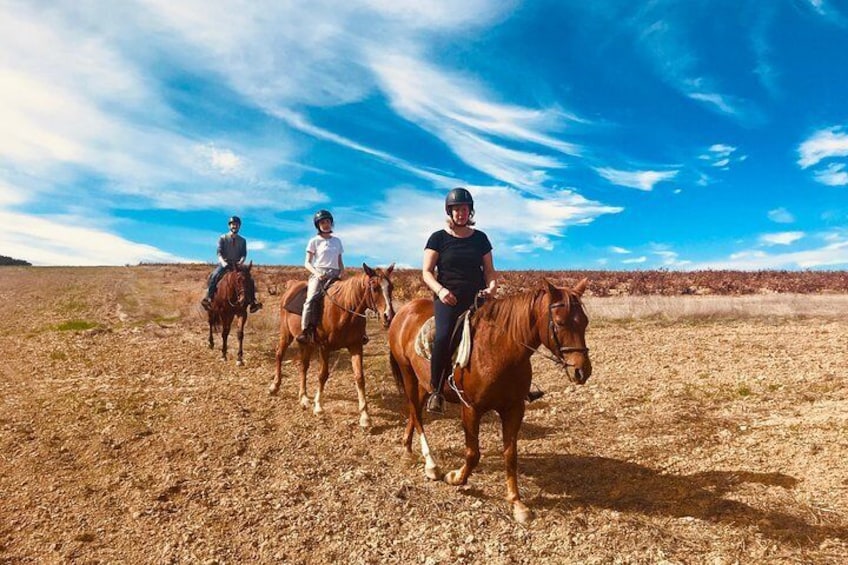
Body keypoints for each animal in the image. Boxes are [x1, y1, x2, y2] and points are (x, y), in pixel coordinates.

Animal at [270, 264, 396, 428]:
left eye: (391, 287)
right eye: (374, 288)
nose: (389, 316)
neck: (344, 311)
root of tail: (292, 285)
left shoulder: (356, 346)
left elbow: (360, 378)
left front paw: (365, 416)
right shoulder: (325, 347)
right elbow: (323, 375)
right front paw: (318, 406)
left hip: (306, 343)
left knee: (303, 366)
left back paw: (303, 397)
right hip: (286, 334)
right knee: (279, 354)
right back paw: (274, 386)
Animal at [390, 280, 592, 524]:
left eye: (585, 322)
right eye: (560, 322)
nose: (582, 371)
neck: (498, 350)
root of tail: (405, 310)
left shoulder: (514, 409)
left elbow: (510, 454)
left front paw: (517, 503)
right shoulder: (471, 409)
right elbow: (473, 453)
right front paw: (456, 477)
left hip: (423, 382)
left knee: (414, 410)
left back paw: (407, 448)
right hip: (407, 373)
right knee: (417, 415)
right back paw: (432, 465)